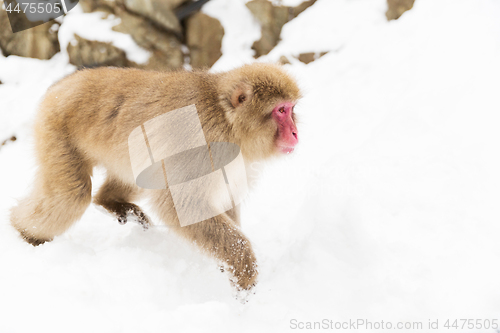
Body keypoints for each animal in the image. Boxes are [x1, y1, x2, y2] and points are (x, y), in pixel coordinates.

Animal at [9, 63, 300, 290]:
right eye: (281, 111)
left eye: (291, 108)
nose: (296, 133)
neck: (226, 122)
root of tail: (63, 84)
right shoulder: (200, 147)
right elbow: (180, 207)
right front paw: (243, 268)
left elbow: (224, 199)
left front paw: (226, 266)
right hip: (54, 130)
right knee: (72, 197)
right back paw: (24, 233)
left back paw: (110, 202)